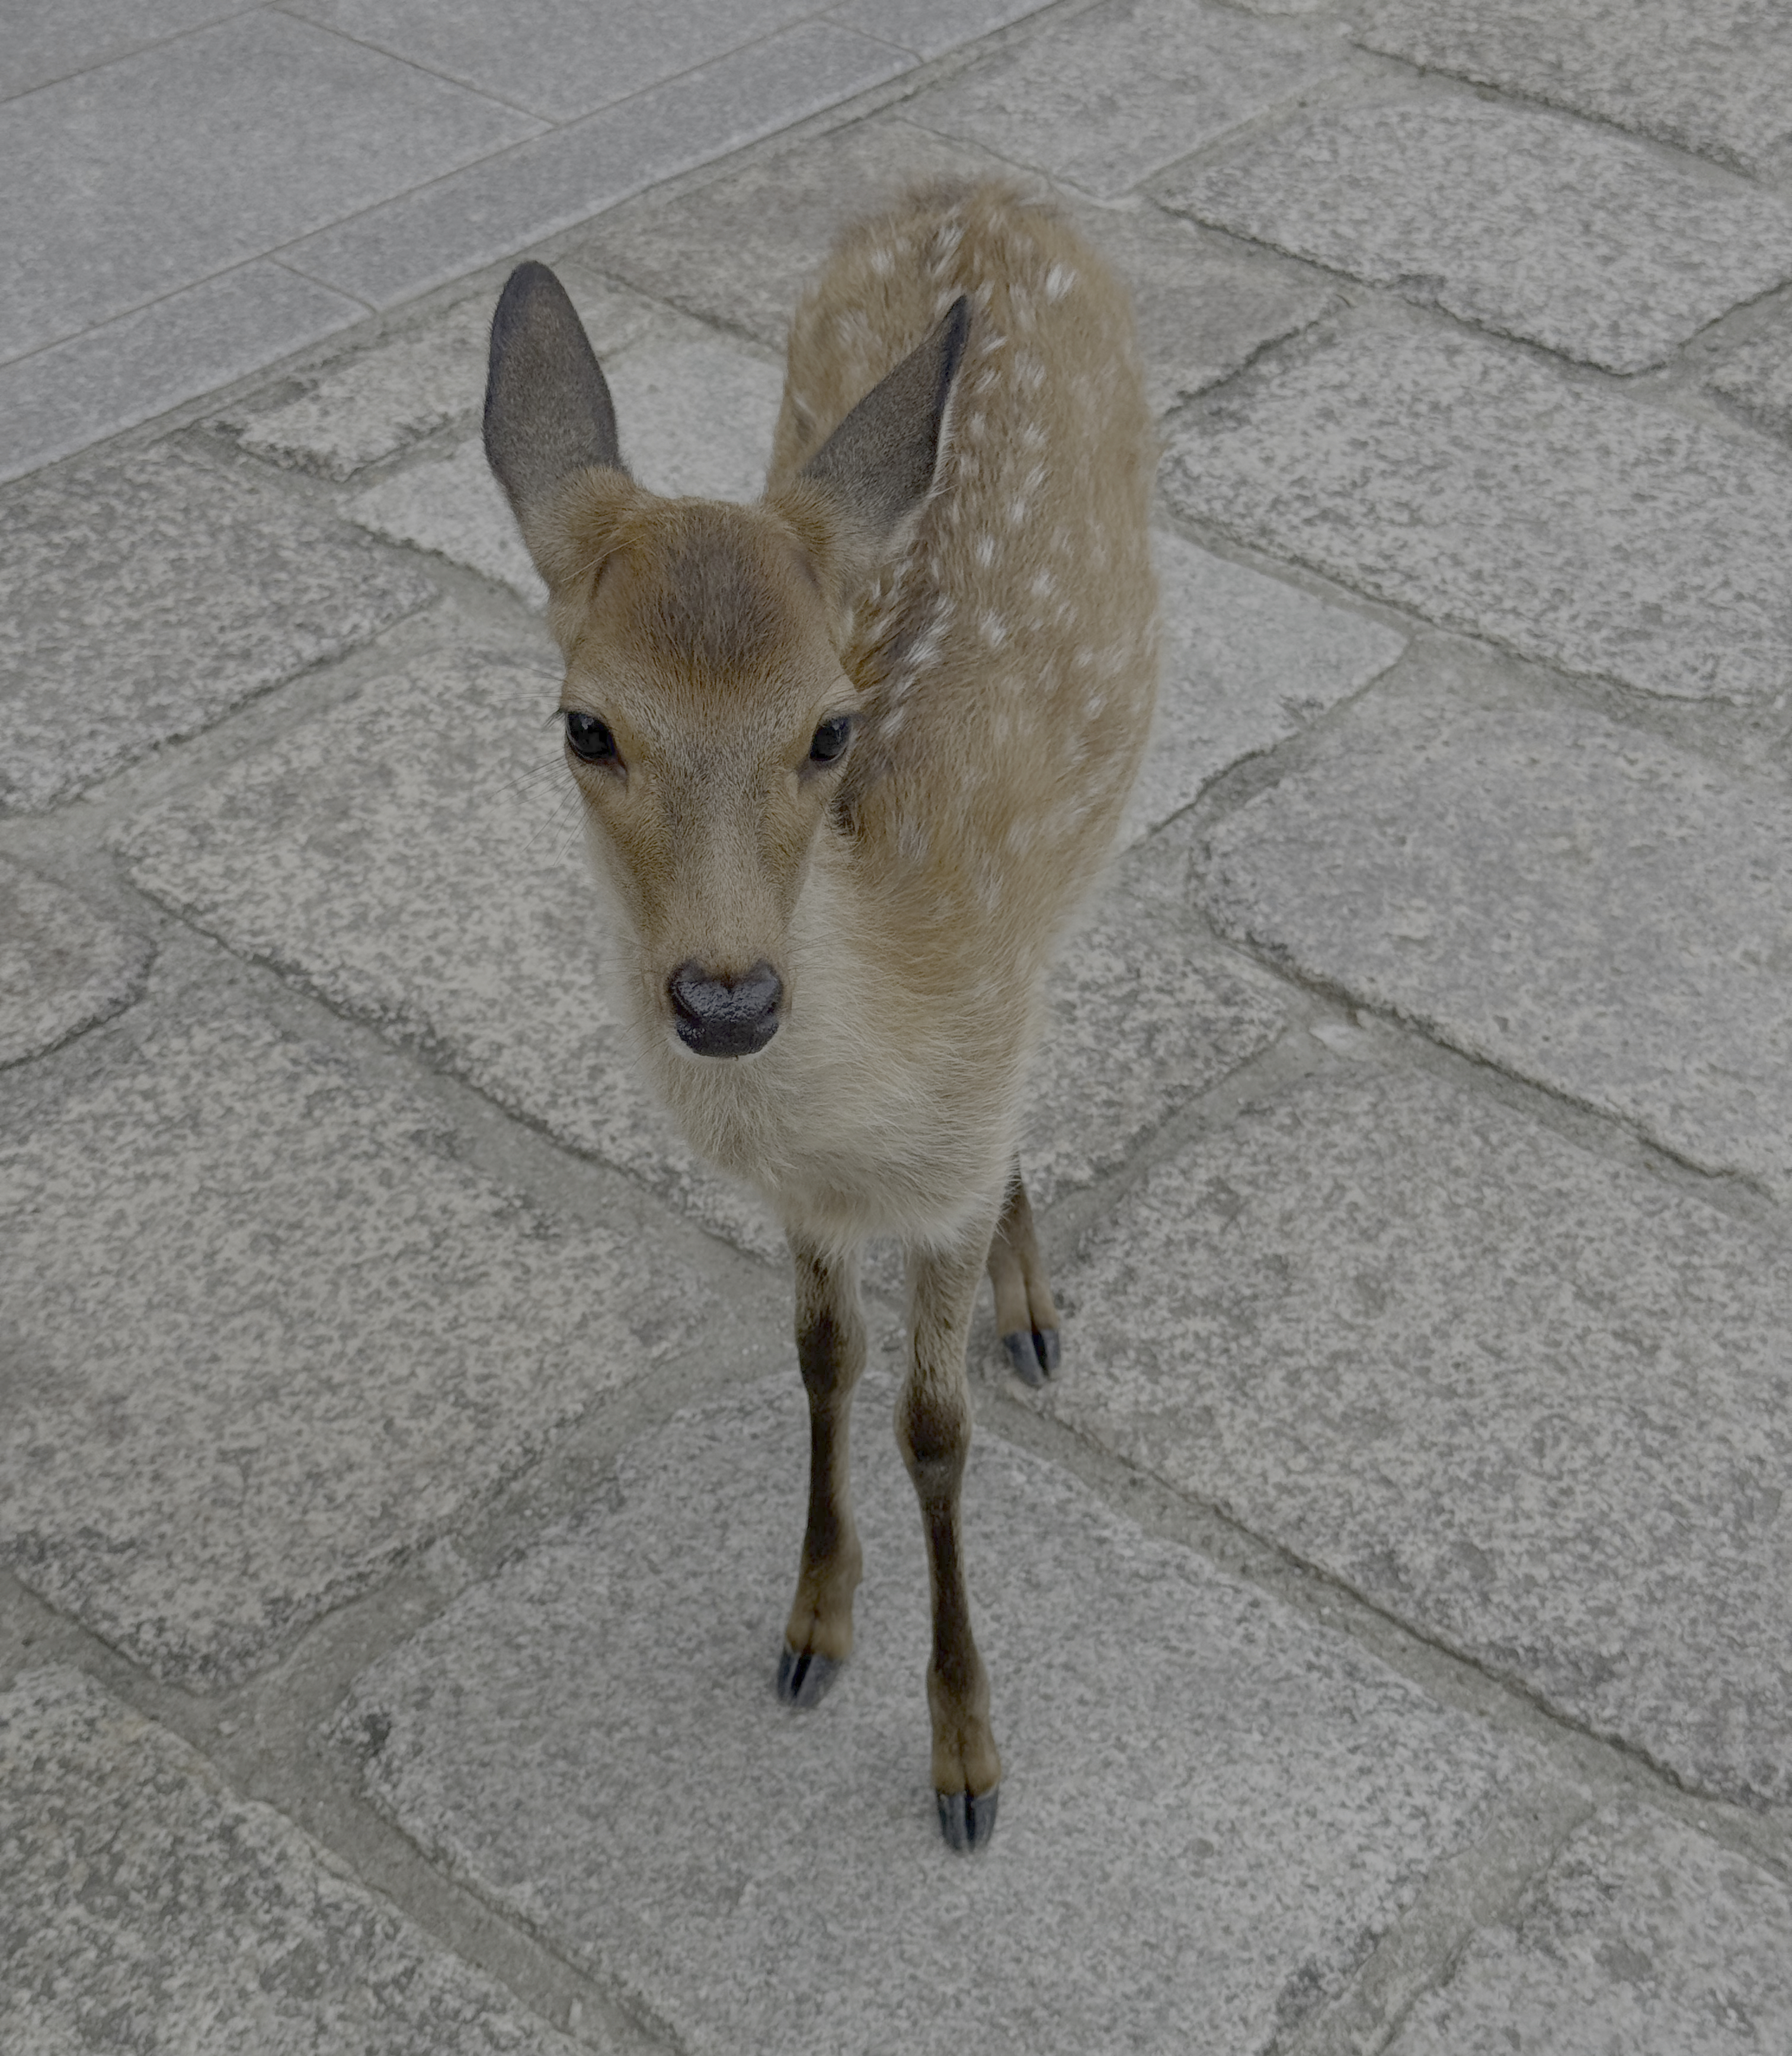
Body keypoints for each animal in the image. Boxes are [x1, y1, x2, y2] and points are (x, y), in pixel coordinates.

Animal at [483, 180, 1157, 1851]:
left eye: (831, 728)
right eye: (586, 723)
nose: (728, 992)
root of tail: (979, 186)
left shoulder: (952, 1142)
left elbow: (936, 1430)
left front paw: (968, 1760)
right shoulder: (805, 1197)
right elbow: (818, 1354)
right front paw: (810, 1623)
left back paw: (1031, 1306)